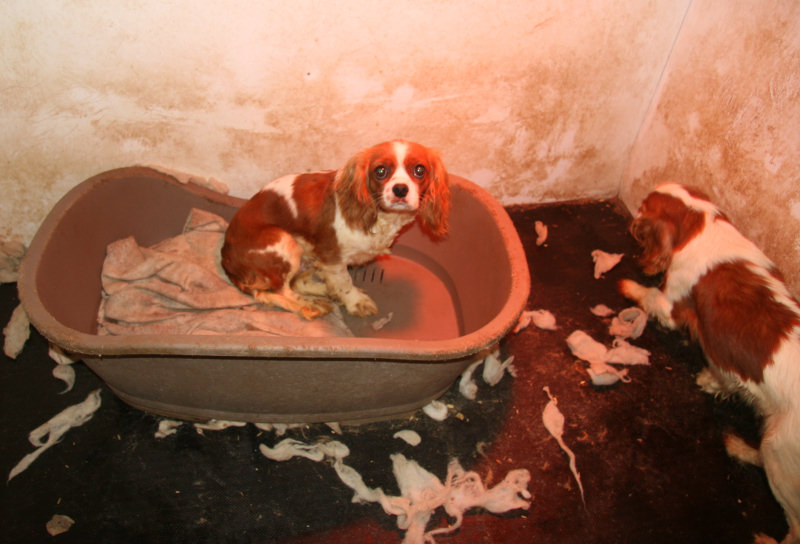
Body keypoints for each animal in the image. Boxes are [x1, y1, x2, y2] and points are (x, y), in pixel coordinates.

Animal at [219, 140, 450, 320]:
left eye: (419, 170)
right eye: (380, 171)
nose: (400, 189)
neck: (378, 217)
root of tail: (226, 258)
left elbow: (336, 281)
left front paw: (339, 292)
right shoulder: (333, 257)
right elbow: (344, 281)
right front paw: (356, 302)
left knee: (296, 283)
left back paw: (324, 292)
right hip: (284, 241)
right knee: (279, 290)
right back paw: (311, 304)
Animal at [620, 183, 800, 544]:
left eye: (643, 206)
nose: (634, 223)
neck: (704, 226)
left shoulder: (671, 303)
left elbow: (650, 296)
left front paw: (630, 287)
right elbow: (724, 374)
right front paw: (711, 381)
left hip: (782, 451)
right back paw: (740, 447)